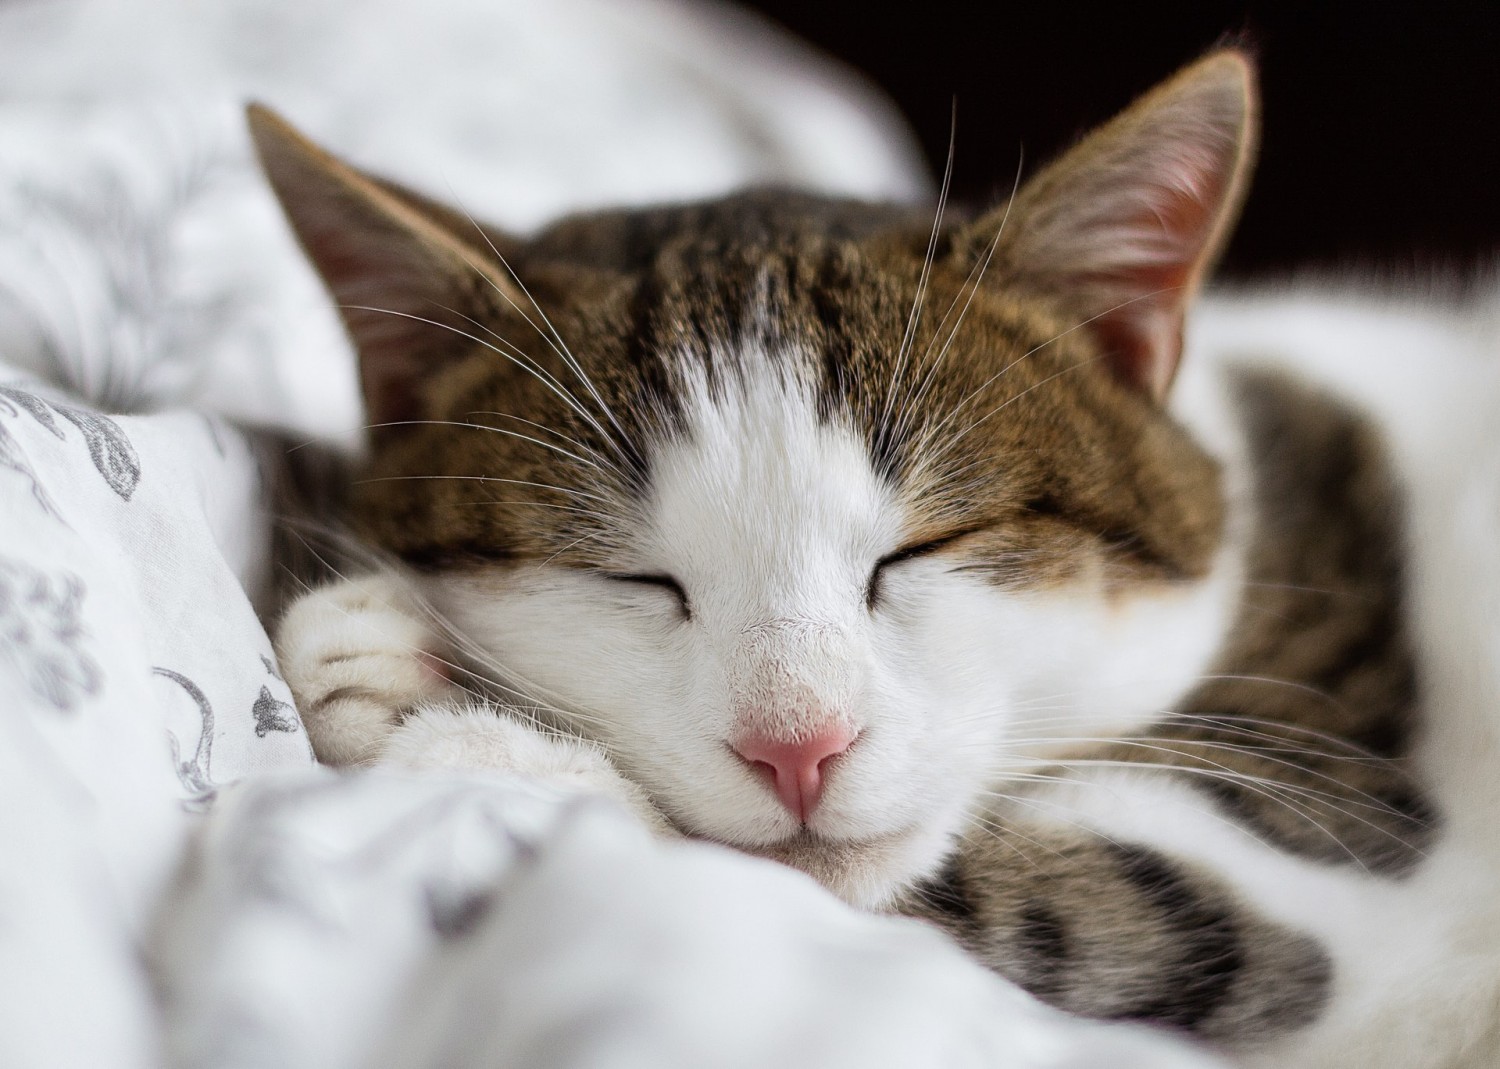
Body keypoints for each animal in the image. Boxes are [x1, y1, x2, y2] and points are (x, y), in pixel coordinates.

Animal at [258, 52, 1500, 1067]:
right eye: (629, 575)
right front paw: (386, 652)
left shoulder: (1342, 862)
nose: (797, 748)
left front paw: (486, 745)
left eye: (923, 548)